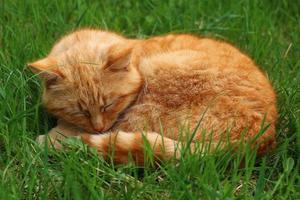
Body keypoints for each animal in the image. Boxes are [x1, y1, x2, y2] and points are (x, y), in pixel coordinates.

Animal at [29, 29, 278, 164]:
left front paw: (55, 136)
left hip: (153, 92)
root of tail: (261, 135)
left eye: (109, 104)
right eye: (79, 111)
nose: (98, 127)